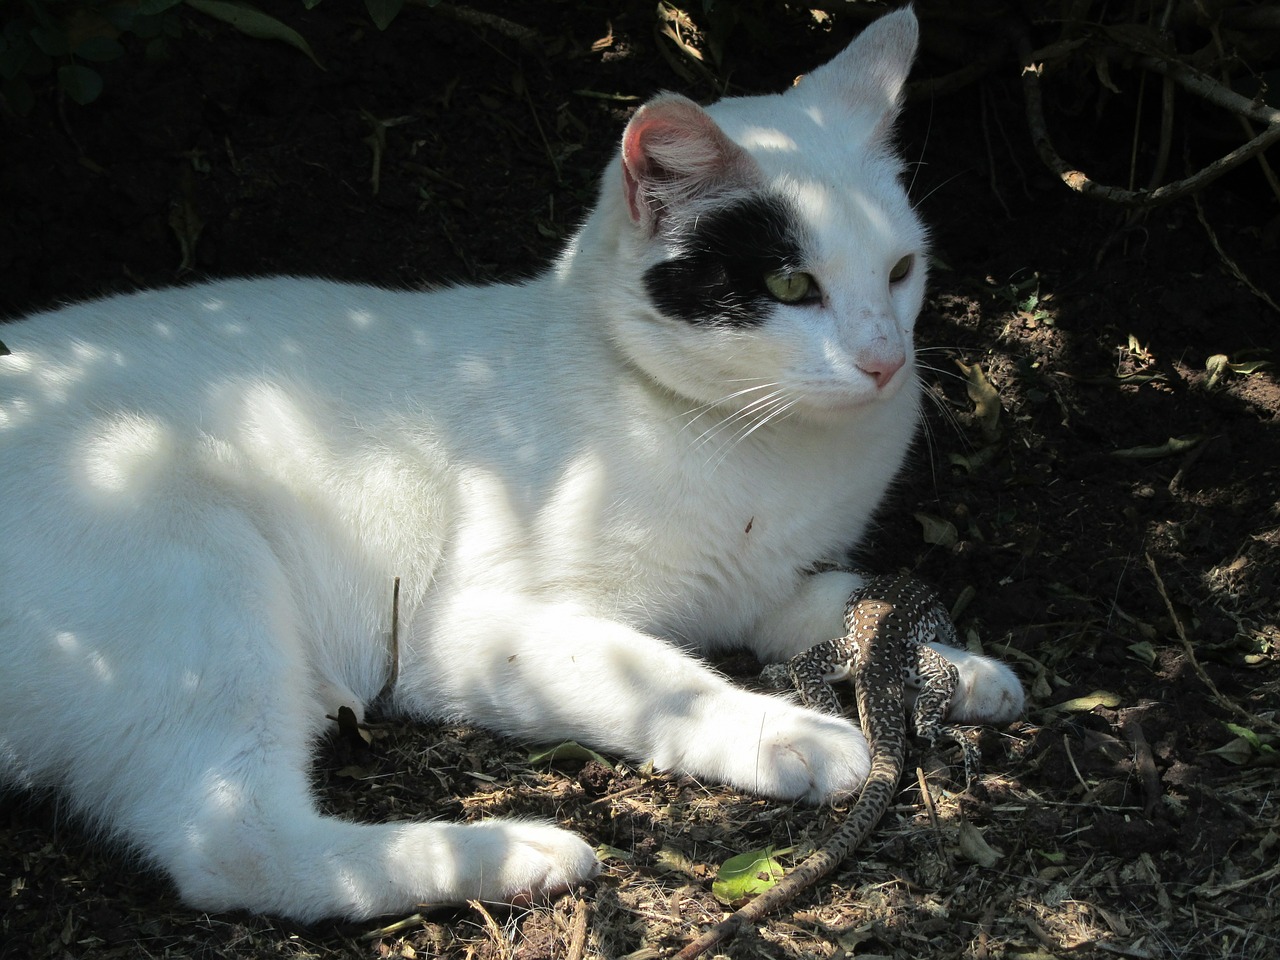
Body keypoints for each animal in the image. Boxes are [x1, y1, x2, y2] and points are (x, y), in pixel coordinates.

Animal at [0, 7, 1018, 926]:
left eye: (901, 271)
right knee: (229, 844)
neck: (757, 443)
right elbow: (660, 678)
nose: (886, 362)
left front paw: (957, 668)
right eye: (789, 286)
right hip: (175, 536)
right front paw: (787, 731)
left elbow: (832, 604)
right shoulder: (465, 630)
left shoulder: (752, 586)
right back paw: (507, 853)